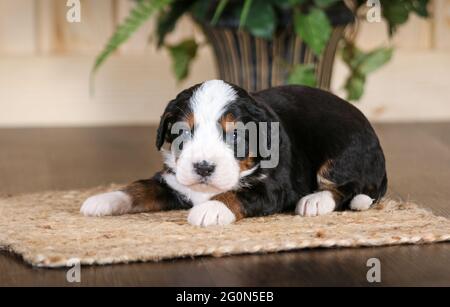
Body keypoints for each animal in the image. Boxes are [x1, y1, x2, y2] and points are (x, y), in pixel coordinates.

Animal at [81, 80, 386, 227]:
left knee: (350, 187)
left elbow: (240, 194)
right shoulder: (173, 180)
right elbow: (140, 187)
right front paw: (104, 199)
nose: (203, 167)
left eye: (236, 135)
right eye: (184, 133)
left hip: (342, 151)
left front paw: (212, 209)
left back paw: (316, 201)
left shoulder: (274, 187)